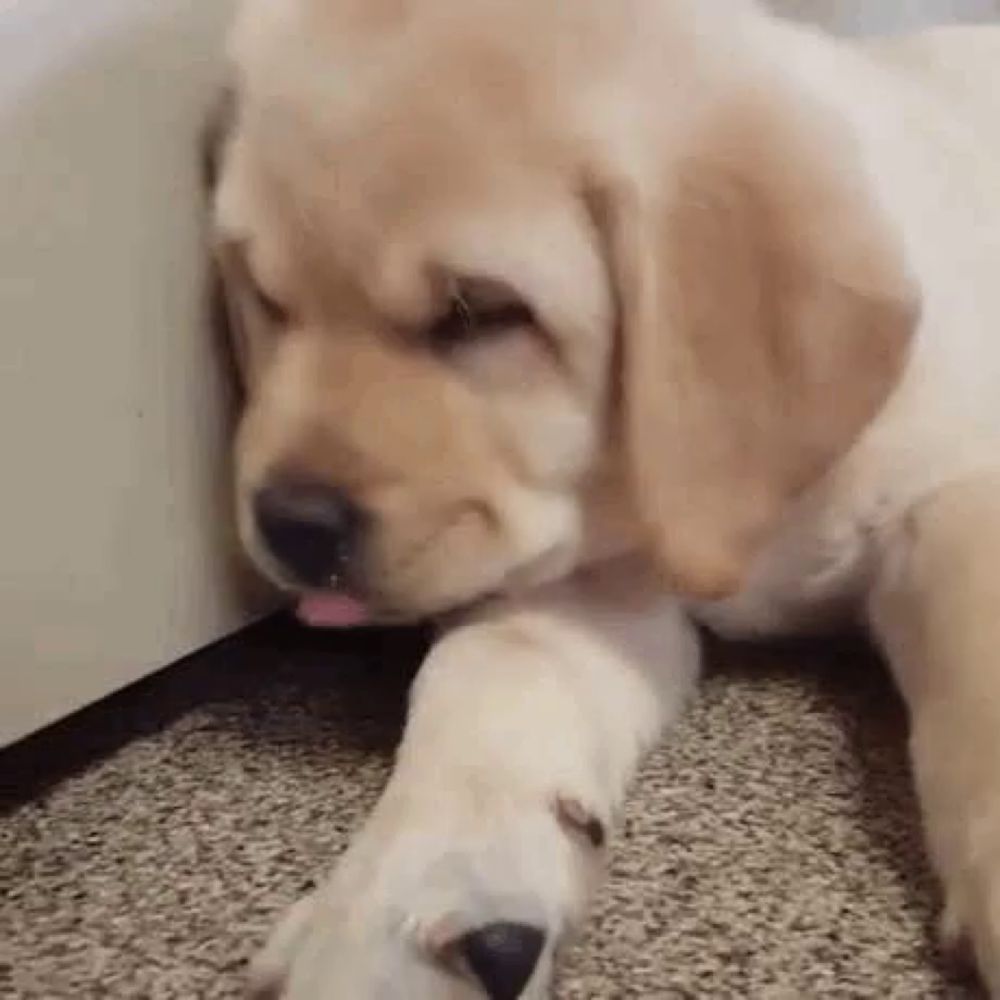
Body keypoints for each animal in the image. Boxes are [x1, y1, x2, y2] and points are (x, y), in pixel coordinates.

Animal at [207, 0, 1000, 996]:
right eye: (268, 300)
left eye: (481, 311)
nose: (291, 526)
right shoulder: (582, 586)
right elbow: (481, 678)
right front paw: (393, 906)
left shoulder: (952, 492)